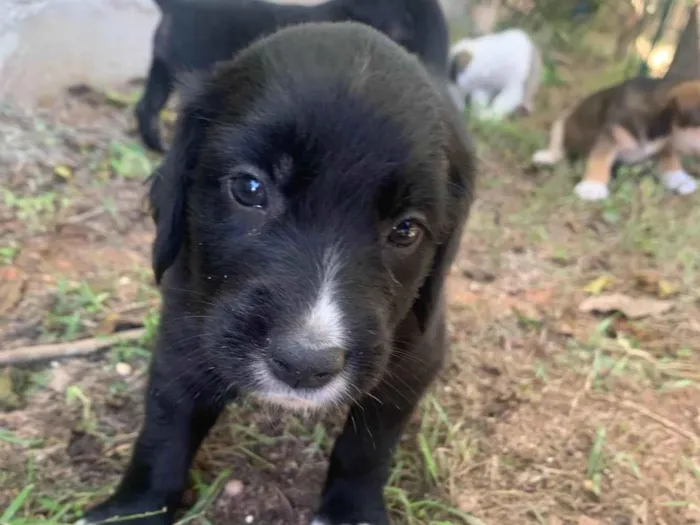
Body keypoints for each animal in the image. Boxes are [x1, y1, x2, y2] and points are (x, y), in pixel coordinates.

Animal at [80, 21, 476, 524]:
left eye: (406, 229)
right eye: (250, 189)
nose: (305, 365)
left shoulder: (414, 359)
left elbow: (367, 447)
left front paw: (352, 512)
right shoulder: (183, 335)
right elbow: (165, 428)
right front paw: (134, 509)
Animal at [532, 76, 700, 201]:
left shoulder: (665, 142)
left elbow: (670, 158)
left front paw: (679, 179)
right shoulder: (611, 134)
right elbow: (600, 158)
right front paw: (593, 186)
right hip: (562, 120)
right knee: (558, 146)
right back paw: (548, 156)